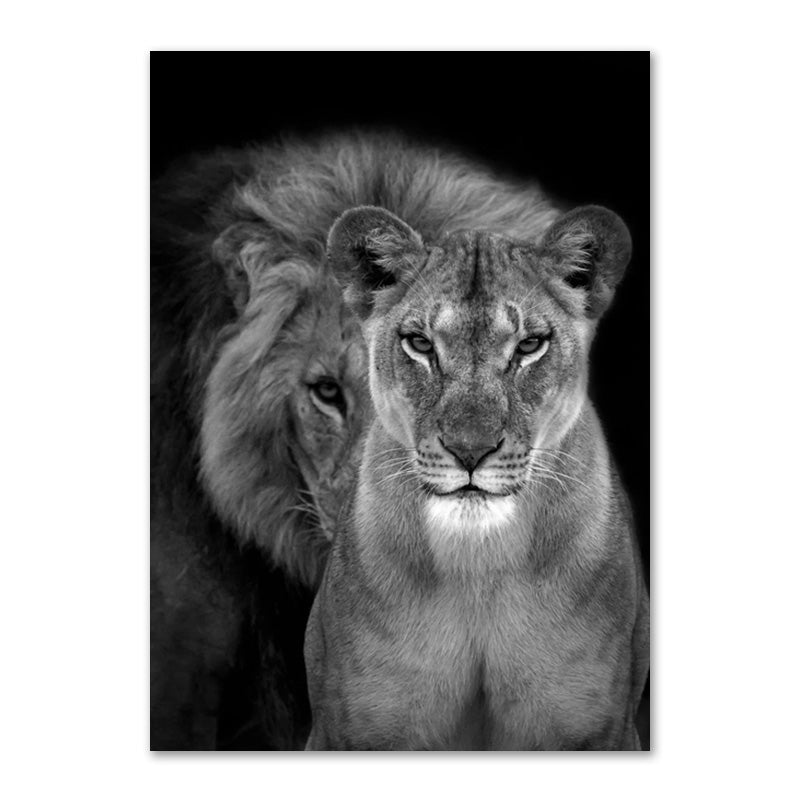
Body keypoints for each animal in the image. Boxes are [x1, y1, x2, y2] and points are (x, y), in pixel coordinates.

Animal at [304, 205, 650, 750]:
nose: (470, 451)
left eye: (529, 345)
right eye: (420, 344)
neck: (477, 566)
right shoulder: (349, 730)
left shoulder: (602, 730)